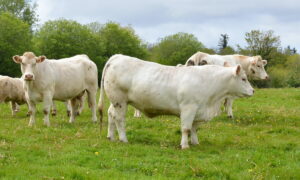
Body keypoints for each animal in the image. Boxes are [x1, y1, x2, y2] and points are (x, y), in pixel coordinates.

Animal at [98, 54, 253, 149]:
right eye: (243, 79)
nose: (253, 91)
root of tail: (118, 57)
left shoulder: (198, 111)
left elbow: (194, 128)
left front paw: (195, 143)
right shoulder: (188, 108)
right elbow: (186, 128)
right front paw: (184, 145)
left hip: (115, 102)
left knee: (111, 115)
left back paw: (111, 137)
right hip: (120, 101)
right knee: (119, 119)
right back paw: (123, 139)